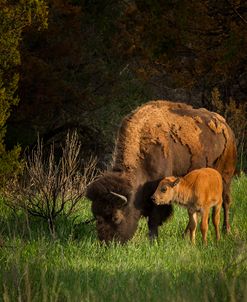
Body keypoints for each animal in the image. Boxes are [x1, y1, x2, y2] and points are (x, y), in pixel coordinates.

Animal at [86, 100, 236, 244]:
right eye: (96, 216)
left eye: (116, 217)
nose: (107, 243)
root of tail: (226, 126)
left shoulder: (159, 190)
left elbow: (154, 217)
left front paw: (153, 240)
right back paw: (185, 235)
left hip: (225, 177)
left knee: (226, 202)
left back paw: (226, 231)